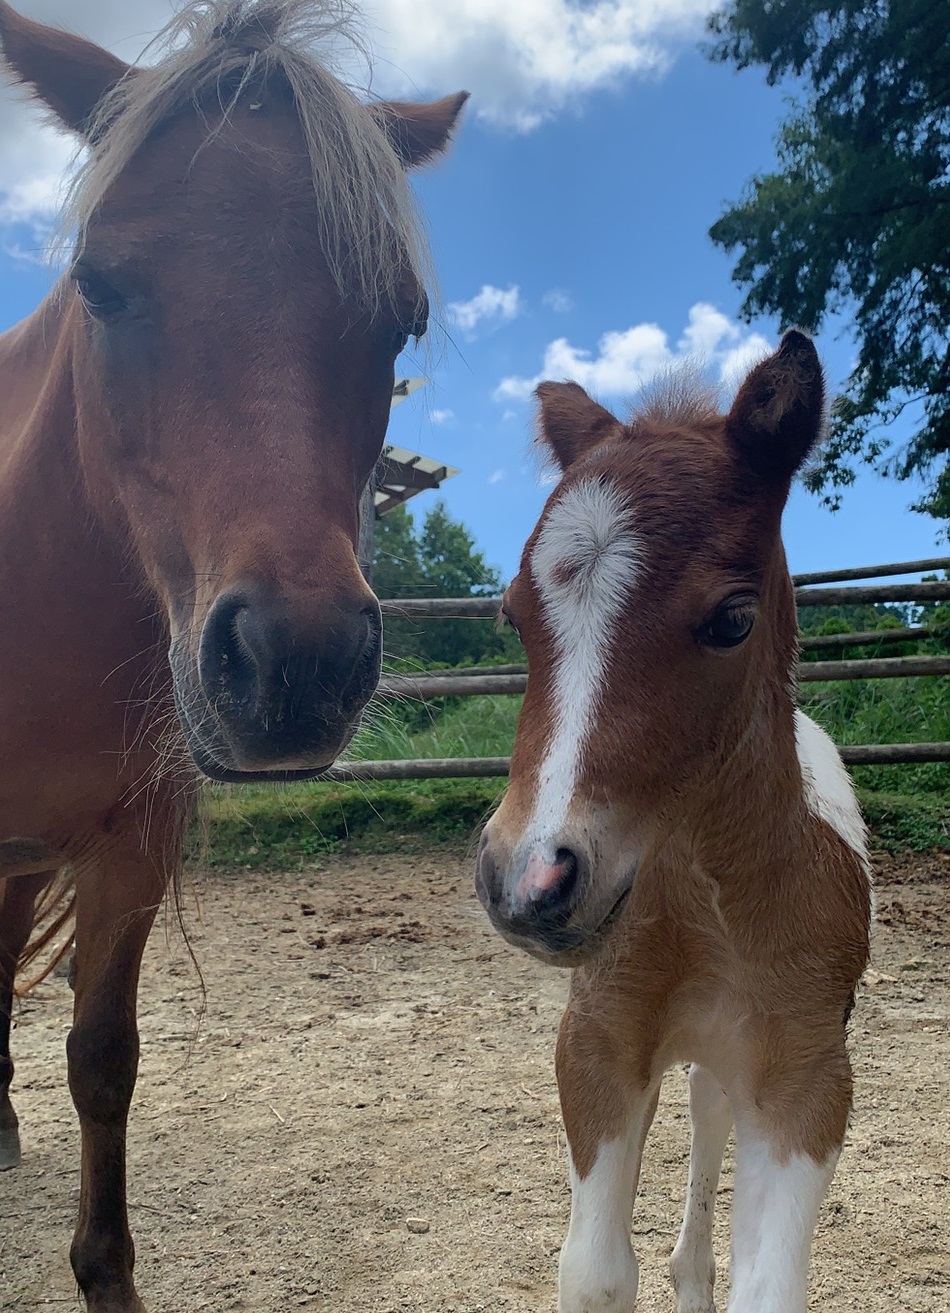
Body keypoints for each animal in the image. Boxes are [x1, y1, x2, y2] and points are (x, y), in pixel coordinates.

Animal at [0, 5, 464, 1307]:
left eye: (399, 319)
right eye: (101, 285)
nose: (296, 664)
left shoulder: (127, 847)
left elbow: (103, 1056)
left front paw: (107, 1275)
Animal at [477, 330, 871, 1313]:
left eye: (732, 619)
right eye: (512, 615)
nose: (528, 880)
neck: (704, 902)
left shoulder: (808, 1080)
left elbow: (768, 1288)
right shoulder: (596, 1044)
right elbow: (594, 1274)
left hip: (731, 1062)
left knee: (707, 1127)